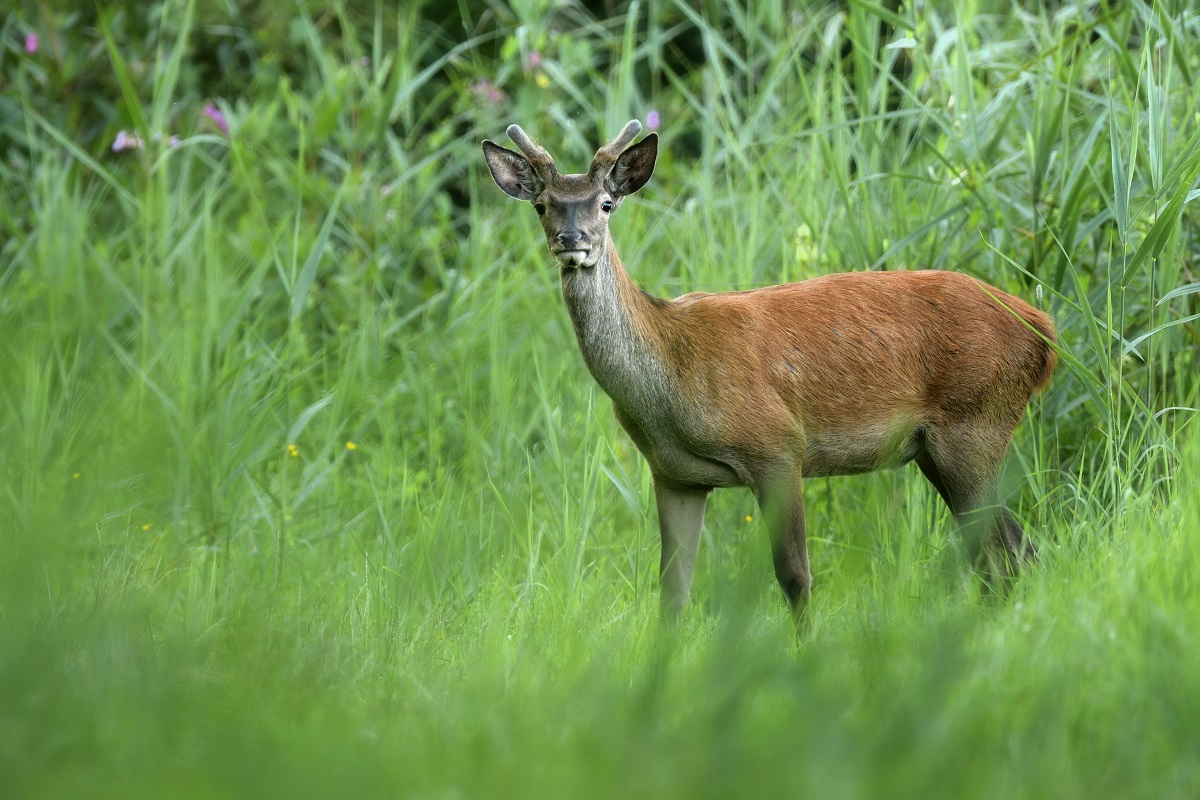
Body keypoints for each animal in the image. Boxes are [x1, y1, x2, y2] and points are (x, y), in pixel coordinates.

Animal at [480, 120, 1060, 618]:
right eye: (542, 206)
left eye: (606, 203)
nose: (571, 240)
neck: (669, 376)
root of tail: (1044, 332)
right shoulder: (674, 475)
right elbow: (672, 591)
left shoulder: (777, 445)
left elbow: (795, 577)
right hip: (940, 448)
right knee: (1008, 552)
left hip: (975, 422)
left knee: (1009, 553)